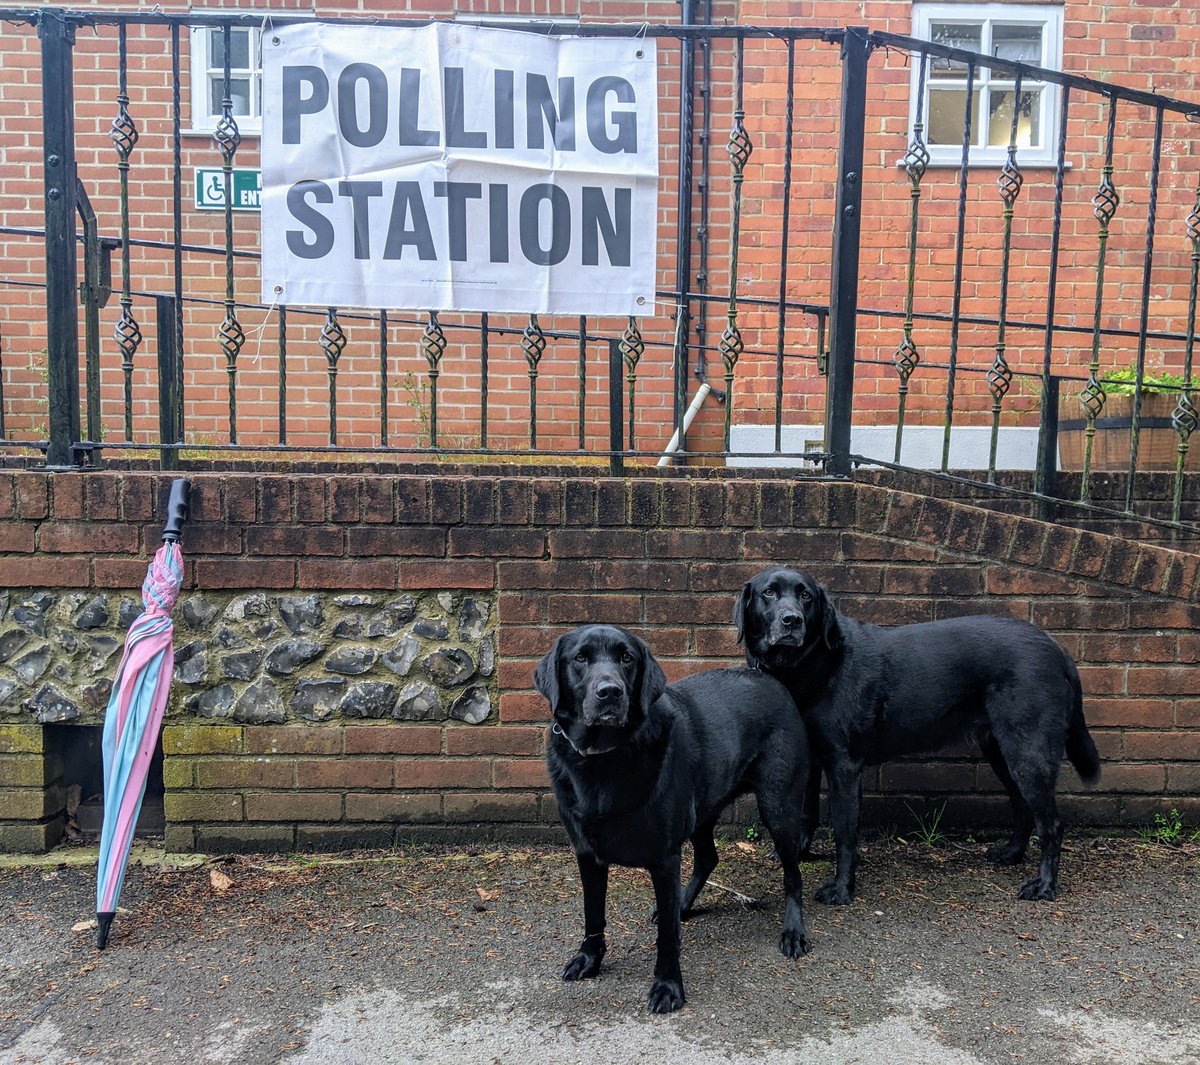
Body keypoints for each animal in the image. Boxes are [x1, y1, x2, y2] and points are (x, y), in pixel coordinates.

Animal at [537, 623, 811, 1017]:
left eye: (627, 658)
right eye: (580, 658)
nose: (610, 692)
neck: (605, 759)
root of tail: (768, 678)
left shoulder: (664, 858)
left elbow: (667, 936)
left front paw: (667, 986)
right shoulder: (587, 853)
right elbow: (593, 913)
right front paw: (589, 958)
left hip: (778, 808)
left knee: (792, 874)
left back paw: (793, 932)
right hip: (702, 810)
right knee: (708, 857)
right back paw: (682, 904)